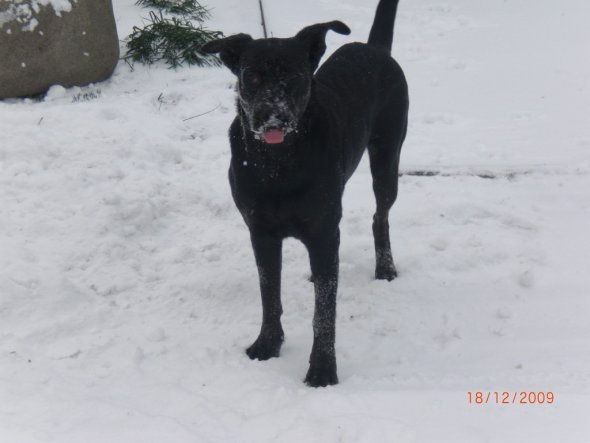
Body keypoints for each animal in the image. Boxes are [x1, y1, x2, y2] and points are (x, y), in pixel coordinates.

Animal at [204, 0, 408, 386]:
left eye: (296, 77)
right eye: (251, 78)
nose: (272, 116)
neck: (277, 164)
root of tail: (374, 48)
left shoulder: (324, 230)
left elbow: (324, 312)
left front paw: (322, 369)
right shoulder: (261, 233)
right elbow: (270, 294)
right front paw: (268, 344)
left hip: (387, 157)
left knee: (381, 216)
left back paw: (385, 267)